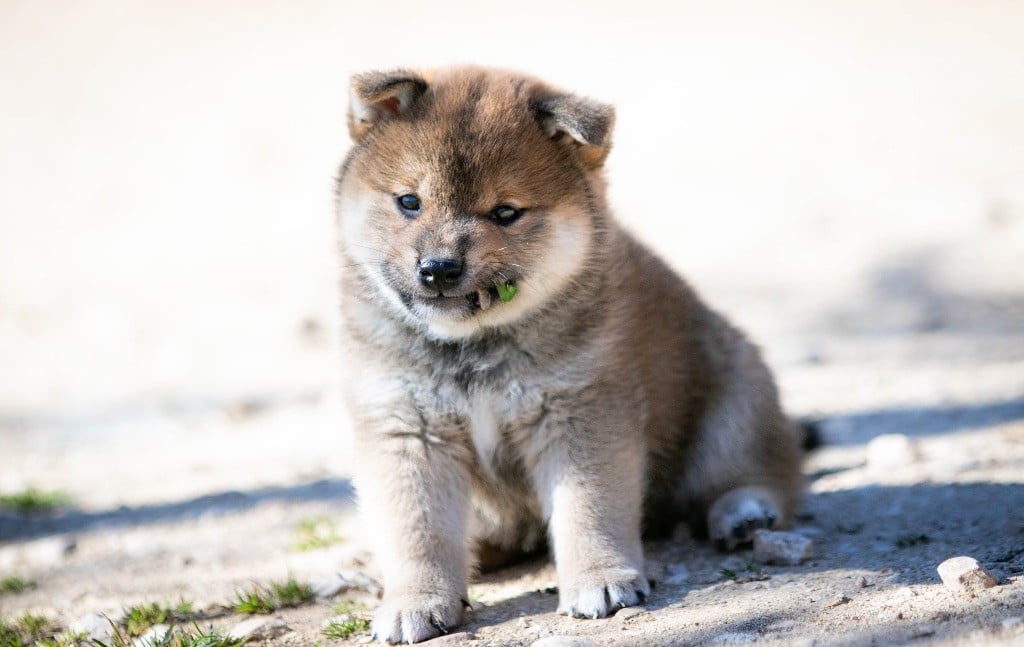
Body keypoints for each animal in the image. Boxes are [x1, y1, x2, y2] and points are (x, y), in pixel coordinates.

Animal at [335, 65, 806, 642]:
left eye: (505, 212)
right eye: (409, 202)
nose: (439, 268)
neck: (473, 348)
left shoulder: (580, 413)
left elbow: (588, 509)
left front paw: (600, 579)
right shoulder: (406, 430)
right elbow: (416, 533)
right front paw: (412, 601)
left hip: (735, 399)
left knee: (757, 472)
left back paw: (744, 513)